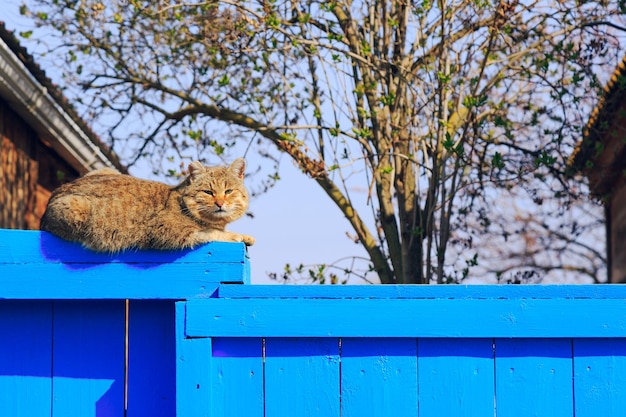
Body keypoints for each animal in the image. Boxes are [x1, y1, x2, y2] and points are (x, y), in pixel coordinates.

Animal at [40, 158, 254, 250]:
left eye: (228, 191)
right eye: (208, 192)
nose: (220, 203)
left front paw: (244, 236)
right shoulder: (168, 231)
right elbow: (211, 233)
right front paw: (235, 236)